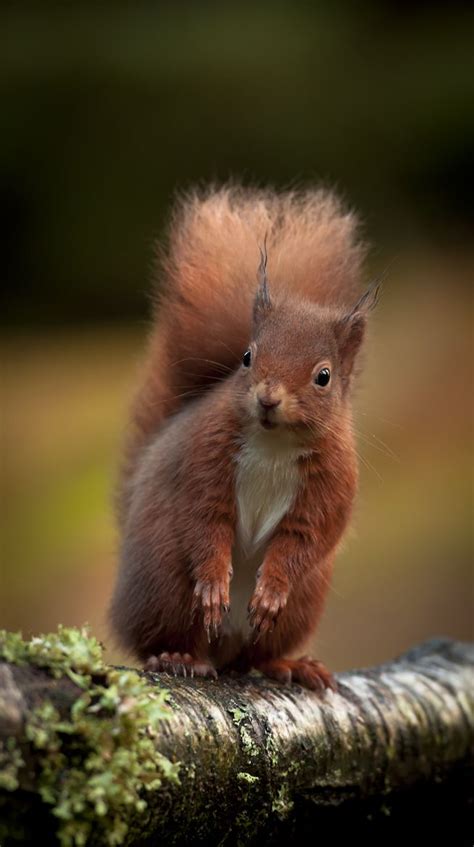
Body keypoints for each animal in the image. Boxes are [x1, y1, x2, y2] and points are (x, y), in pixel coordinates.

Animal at [108, 184, 378, 688]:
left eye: (324, 376)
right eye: (248, 357)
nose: (268, 398)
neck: (275, 443)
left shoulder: (330, 486)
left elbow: (305, 540)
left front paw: (272, 588)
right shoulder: (204, 459)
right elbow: (204, 521)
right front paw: (214, 582)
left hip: (302, 605)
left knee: (253, 656)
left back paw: (287, 664)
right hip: (165, 579)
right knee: (161, 636)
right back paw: (176, 656)